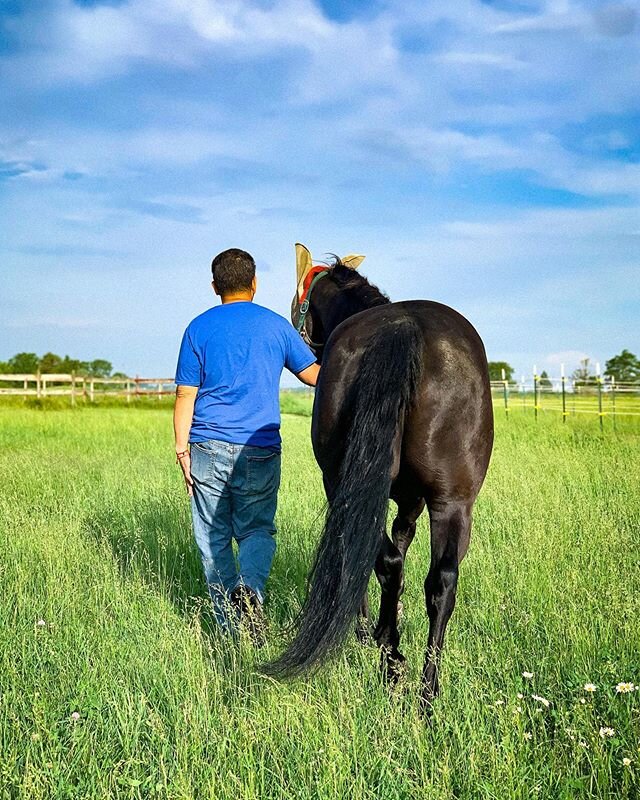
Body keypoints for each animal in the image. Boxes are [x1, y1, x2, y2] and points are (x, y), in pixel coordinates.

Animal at [264, 250, 496, 708]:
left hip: (347, 485)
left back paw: (390, 661)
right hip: (454, 502)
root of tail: (404, 327)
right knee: (441, 582)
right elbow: (404, 544)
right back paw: (425, 694)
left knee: (382, 558)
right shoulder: (413, 500)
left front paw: (368, 627)